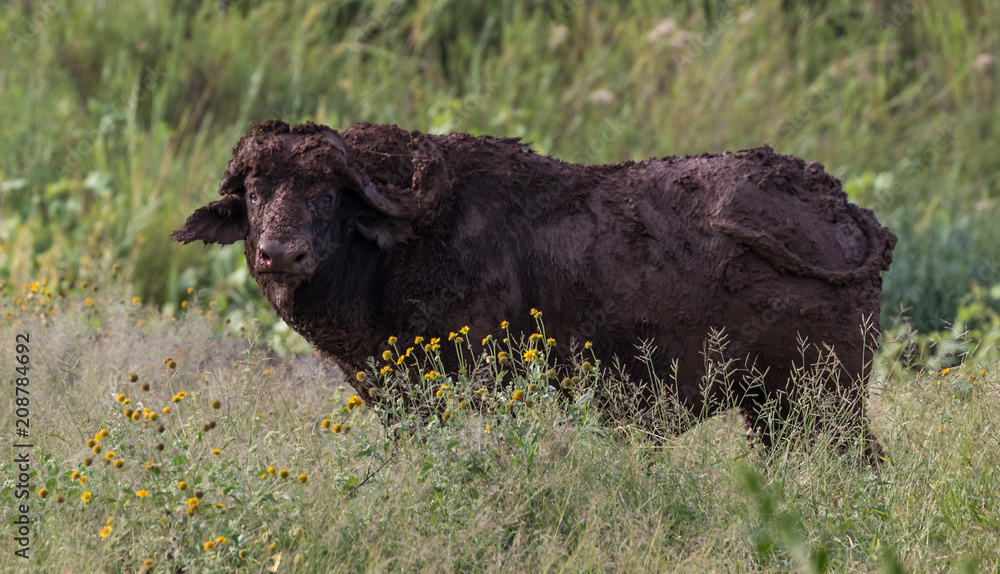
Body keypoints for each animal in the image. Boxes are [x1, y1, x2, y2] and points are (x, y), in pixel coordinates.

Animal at [174, 120, 896, 462]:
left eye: (326, 196)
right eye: (256, 193)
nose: (279, 254)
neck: (398, 251)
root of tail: (840, 207)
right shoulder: (396, 400)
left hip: (825, 402)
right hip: (772, 411)